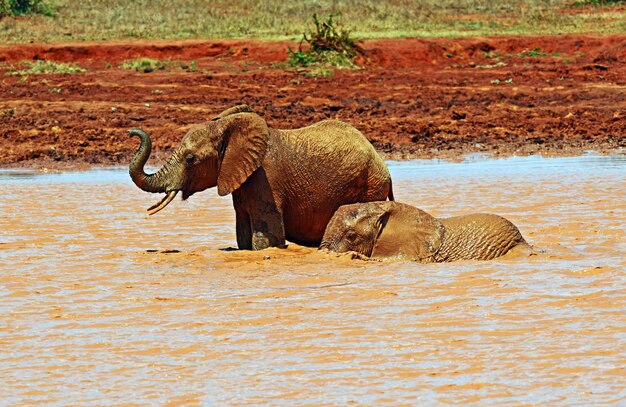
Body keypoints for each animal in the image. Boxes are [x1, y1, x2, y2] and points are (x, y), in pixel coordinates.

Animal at [127, 105, 392, 250]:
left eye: (190, 159)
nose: (131, 132)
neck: (228, 128)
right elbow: (243, 238)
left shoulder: (266, 183)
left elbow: (265, 242)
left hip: (371, 186)